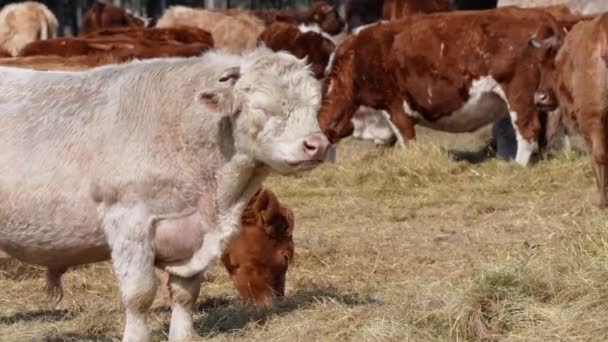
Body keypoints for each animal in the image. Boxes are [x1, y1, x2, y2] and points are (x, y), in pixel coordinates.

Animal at [0, 48, 332, 342]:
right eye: (261, 107)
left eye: (315, 107)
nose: (316, 145)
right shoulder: (129, 222)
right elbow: (138, 295)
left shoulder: (192, 234)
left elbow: (185, 295)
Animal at [318, 6, 564, 165]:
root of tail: (543, 16)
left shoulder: (394, 106)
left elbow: (407, 140)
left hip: (520, 96)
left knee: (527, 131)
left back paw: (517, 166)